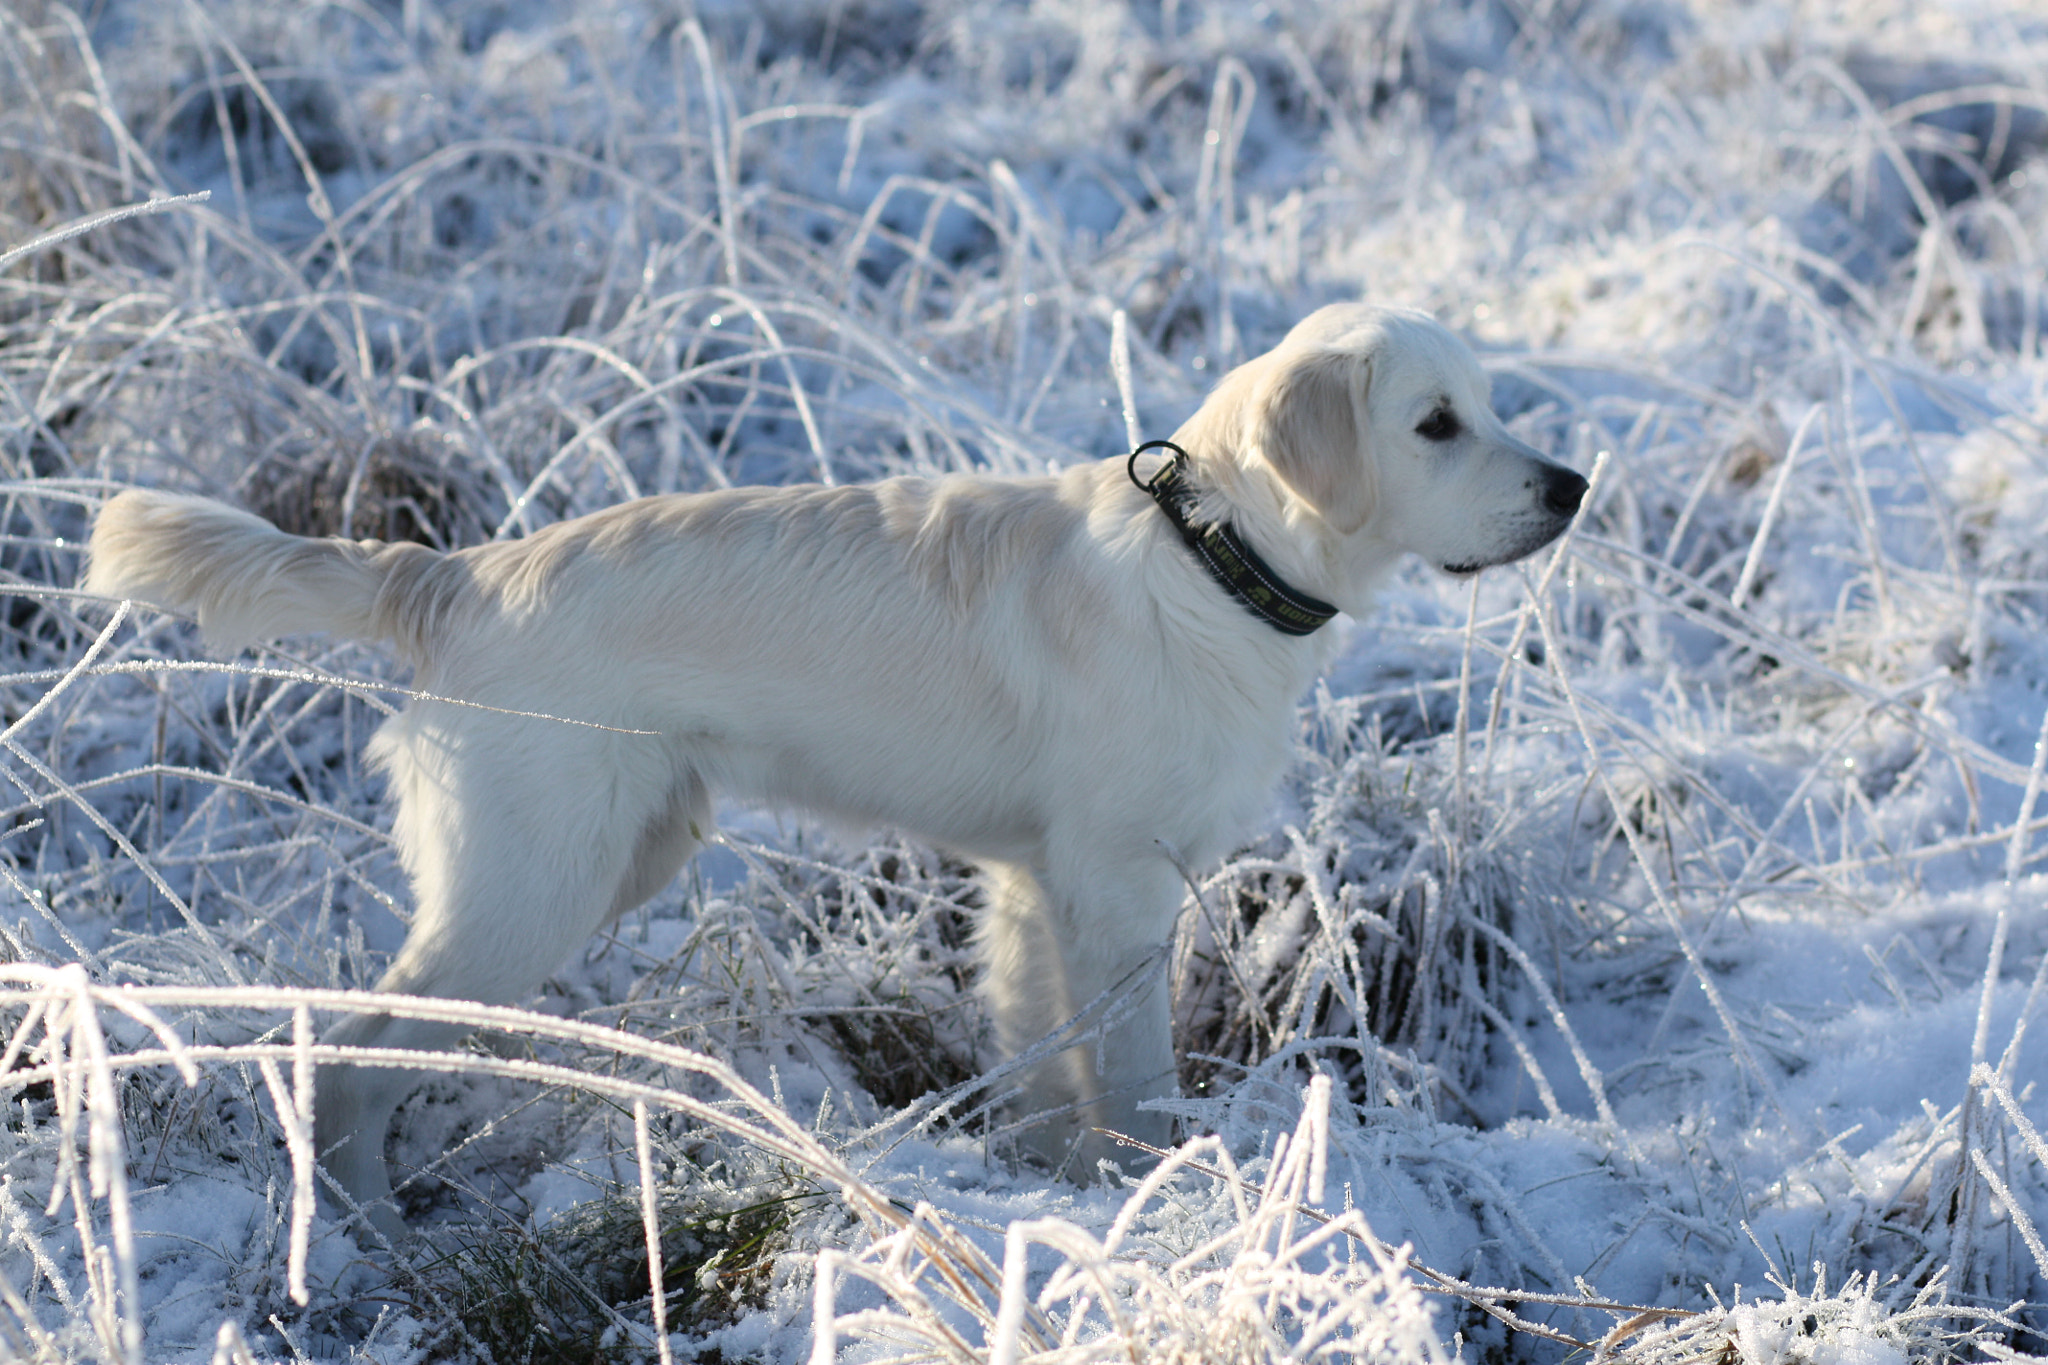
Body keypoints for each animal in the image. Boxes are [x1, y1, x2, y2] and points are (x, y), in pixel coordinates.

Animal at [83, 304, 1581, 1244]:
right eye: (1436, 425)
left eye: (1489, 406)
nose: (1570, 486)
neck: (1209, 563)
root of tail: (451, 577)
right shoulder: (1117, 891)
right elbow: (1135, 1081)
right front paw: (1167, 1196)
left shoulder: (1035, 889)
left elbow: (1049, 1075)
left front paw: (1070, 1198)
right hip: (527, 887)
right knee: (346, 1055)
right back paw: (366, 1241)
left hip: (616, 854)